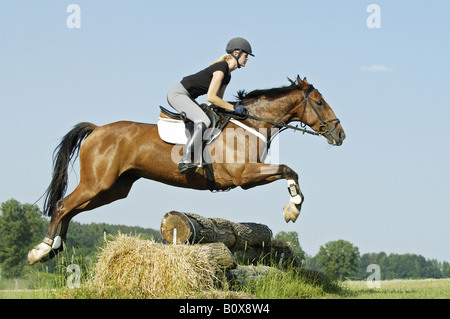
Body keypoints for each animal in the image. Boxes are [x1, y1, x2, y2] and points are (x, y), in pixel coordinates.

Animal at [27, 74, 344, 264]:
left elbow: (290, 171)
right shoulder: (244, 175)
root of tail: (96, 130)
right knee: (63, 204)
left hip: (113, 189)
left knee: (70, 209)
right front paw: (293, 208)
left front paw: (293, 207)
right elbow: (289, 170)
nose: (340, 135)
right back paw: (41, 249)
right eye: (319, 102)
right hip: (97, 183)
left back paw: (53, 248)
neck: (250, 124)